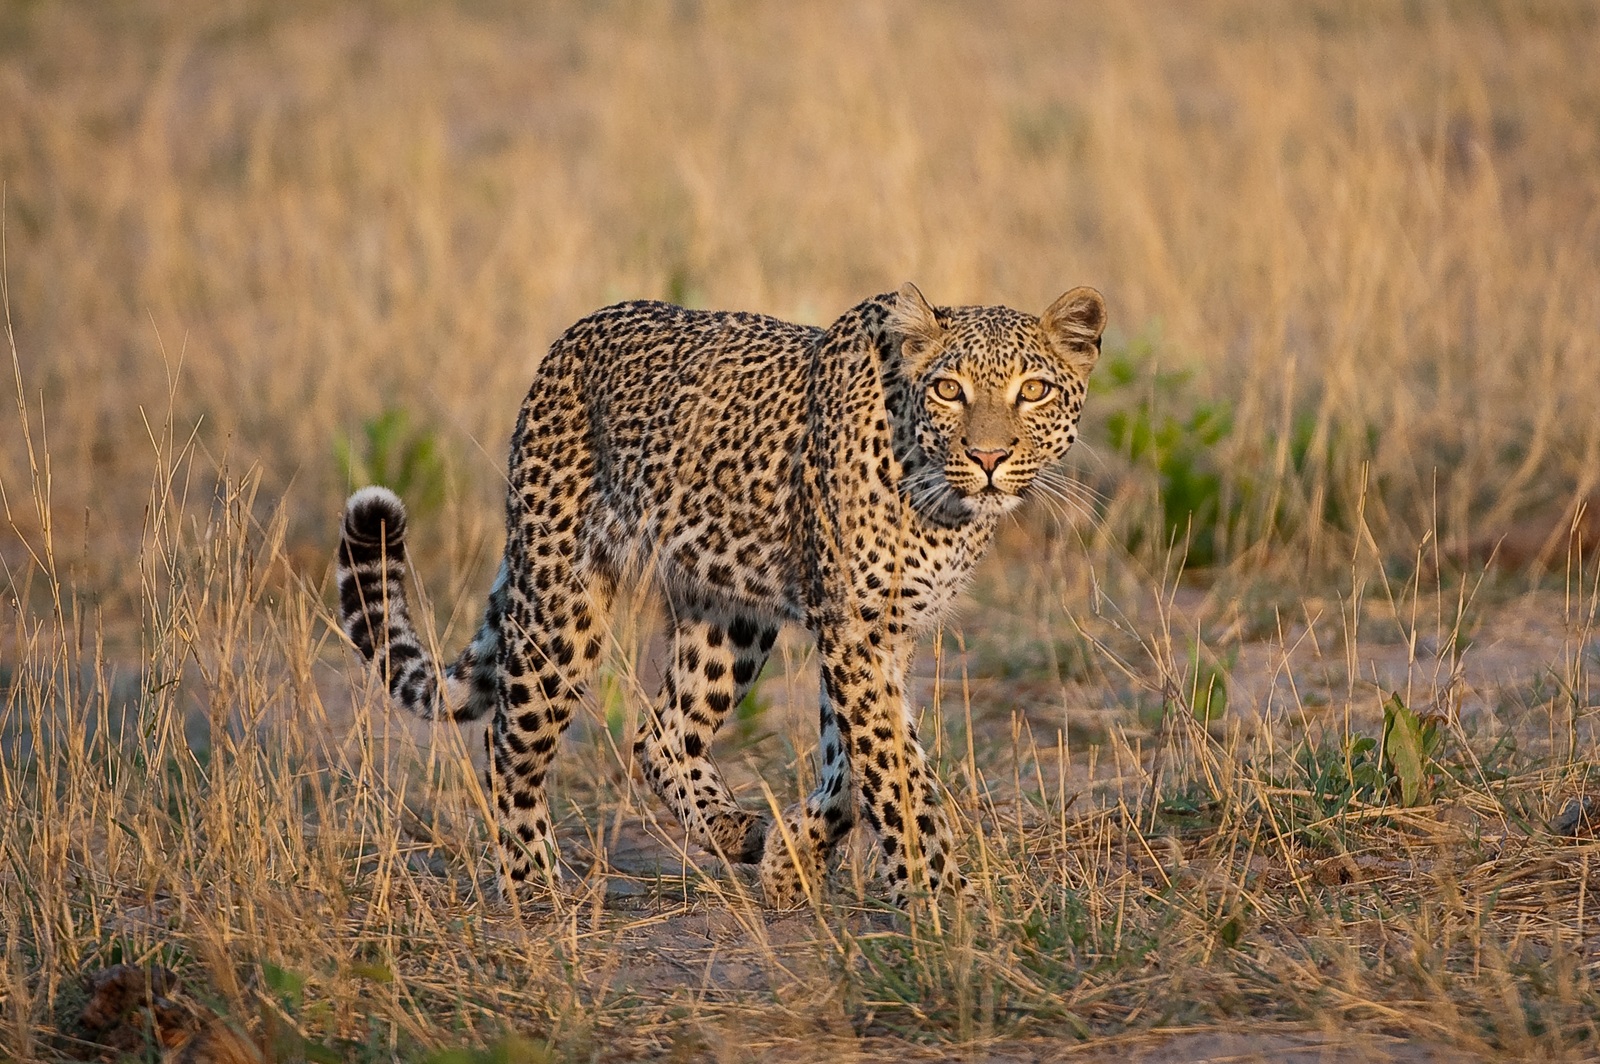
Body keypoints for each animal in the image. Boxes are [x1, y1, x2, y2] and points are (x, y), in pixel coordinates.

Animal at [335, 282, 1106, 909]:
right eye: (949, 390)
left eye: (1034, 390)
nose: (989, 458)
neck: (942, 503)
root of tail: (567, 340)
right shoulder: (854, 632)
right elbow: (891, 769)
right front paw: (931, 891)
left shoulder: (877, 635)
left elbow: (858, 763)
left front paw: (792, 864)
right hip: (560, 602)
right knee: (510, 741)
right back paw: (532, 886)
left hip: (728, 617)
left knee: (659, 731)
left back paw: (733, 829)